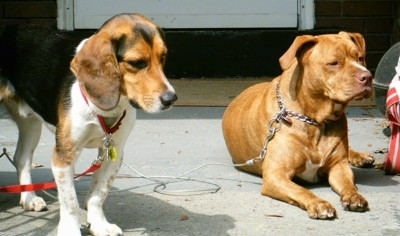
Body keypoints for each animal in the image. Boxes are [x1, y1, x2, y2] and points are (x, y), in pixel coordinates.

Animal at [0, 13, 177, 235]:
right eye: (137, 63)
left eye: (163, 58)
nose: (171, 99)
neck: (103, 109)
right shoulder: (63, 156)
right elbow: (70, 202)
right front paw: (70, 230)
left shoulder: (113, 153)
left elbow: (97, 195)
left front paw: (99, 224)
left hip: (30, 123)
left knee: (21, 158)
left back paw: (29, 199)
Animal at [223, 31, 374, 219]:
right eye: (334, 63)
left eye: (360, 58)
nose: (367, 77)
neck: (314, 120)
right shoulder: (276, 176)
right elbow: (300, 190)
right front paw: (319, 203)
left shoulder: (339, 166)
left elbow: (348, 183)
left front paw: (354, 196)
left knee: (348, 151)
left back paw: (360, 157)